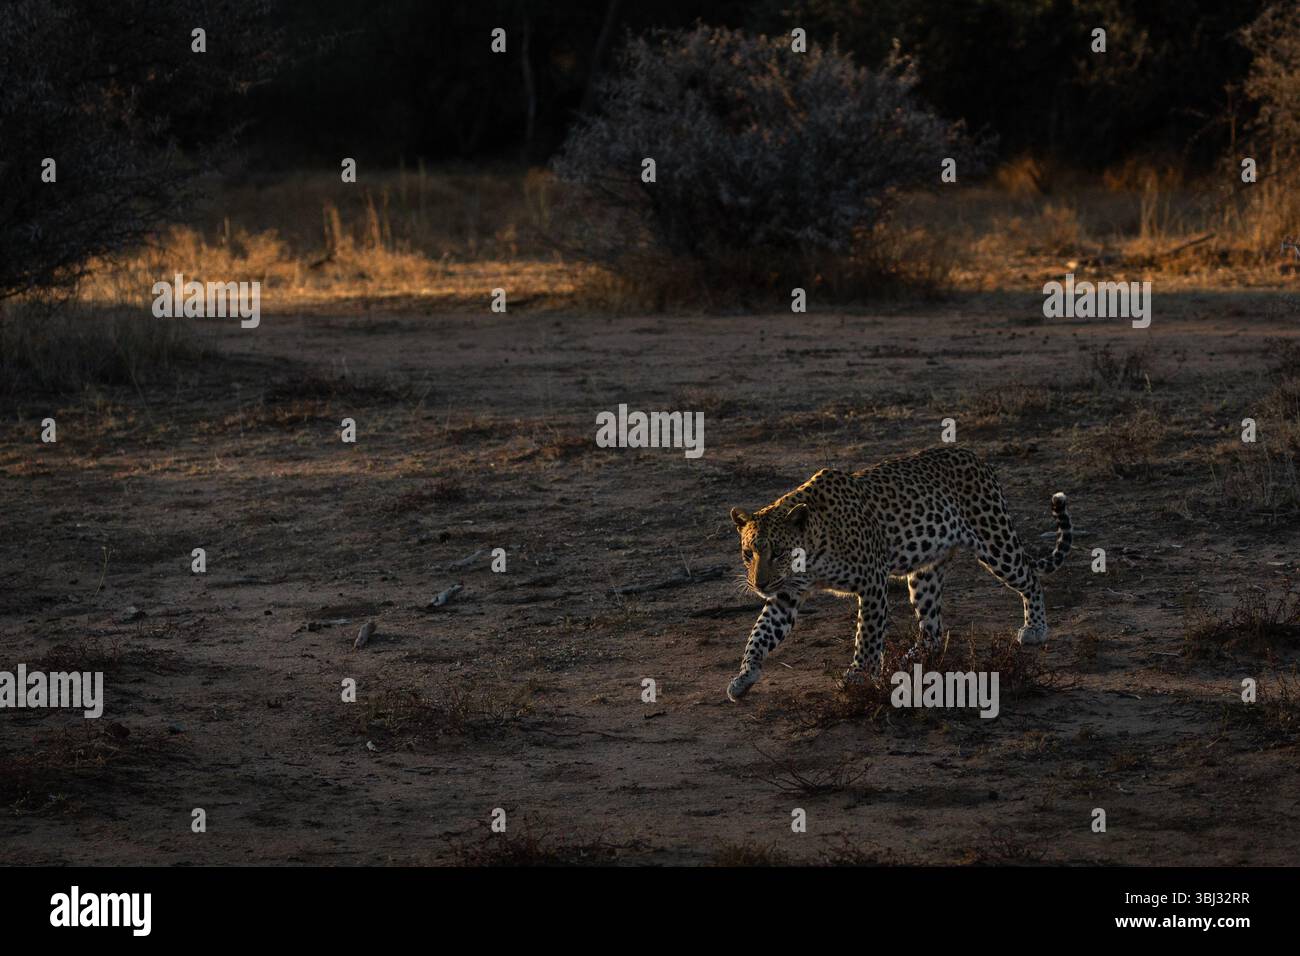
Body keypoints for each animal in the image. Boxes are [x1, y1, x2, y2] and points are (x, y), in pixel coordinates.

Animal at [725, 446, 1071, 701]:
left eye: (779, 553)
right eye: (748, 554)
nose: (759, 583)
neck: (810, 555)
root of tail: (975, 456)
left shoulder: (871, 582)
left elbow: (866, 635)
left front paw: (859, 675)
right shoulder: (785, 595)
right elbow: (760, 633)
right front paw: (745, 675)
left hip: (995, 543)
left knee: (1030, 577)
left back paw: (1036, 628)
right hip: (924, 574)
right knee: (933, 630)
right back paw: (911, 659)